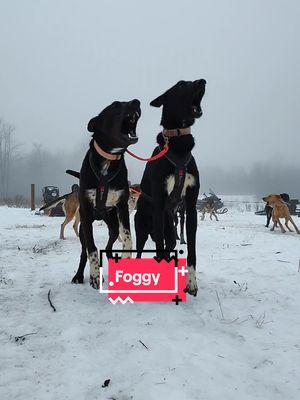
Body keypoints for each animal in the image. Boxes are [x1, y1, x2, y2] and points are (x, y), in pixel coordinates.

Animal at [69, 99, 141, 288]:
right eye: (116, 105)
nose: (136, 102)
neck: (109, 159)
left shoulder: (122, 206)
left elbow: (128, 237)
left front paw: (126, 258)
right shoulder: (86, 213)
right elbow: (92, 248)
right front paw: (94, 275)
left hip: (113, 225)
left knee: (109, 246)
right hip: (84, 229)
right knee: (84, 251)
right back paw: (79, 275)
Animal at [135, 79, 205, 296]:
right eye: (181, 85)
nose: (202, 81)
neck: (178, 142)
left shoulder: (190, 206)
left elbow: (192, 251)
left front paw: (191, 282)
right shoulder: (159, 202)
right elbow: (158, 247)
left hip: (170, 229)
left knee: (170, 244)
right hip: (142, 228)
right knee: (141, 251)